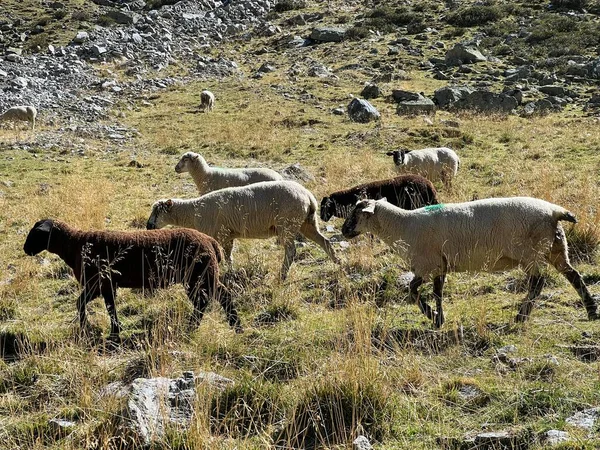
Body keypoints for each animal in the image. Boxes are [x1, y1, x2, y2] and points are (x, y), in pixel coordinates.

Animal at [24, 220, 239, 340]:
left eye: (36, 233)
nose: (25, 249)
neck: (74, 245)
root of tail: (212, 243)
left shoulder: (99, 282)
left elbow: (92, 305)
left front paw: (95, 329)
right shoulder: (106, 284)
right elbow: (104, 305)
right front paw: (110, 330)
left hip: (200, 276)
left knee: (207, 301)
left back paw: (194, 327)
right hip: (203, 276)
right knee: (219, 297)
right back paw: (235, 326)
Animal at [148, 178, 340, 278]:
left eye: (157, 211)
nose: (148, 226)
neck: (193, 212)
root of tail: (308, 196)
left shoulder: (221, 234)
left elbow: (225, 256)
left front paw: (226, 272)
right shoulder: (229, 235)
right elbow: (229, 256)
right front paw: (230, 271)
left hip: (287, 223)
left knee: (291, 251)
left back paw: (282, 274)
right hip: (306, 222)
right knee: (324, 241)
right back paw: (338, 262)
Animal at [342, 197, 600, 326]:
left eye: (356, 213)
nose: (344, 230)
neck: (402, 225)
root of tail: (555, 211)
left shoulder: (428, 263)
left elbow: (413, 291)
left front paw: (432, 317)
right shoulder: (440, 265)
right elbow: (438, 293)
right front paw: (438, 319)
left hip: (531, 253)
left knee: (538, 283)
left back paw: (521, 317)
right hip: (557, 248)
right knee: (574, 276)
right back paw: (591, 310)